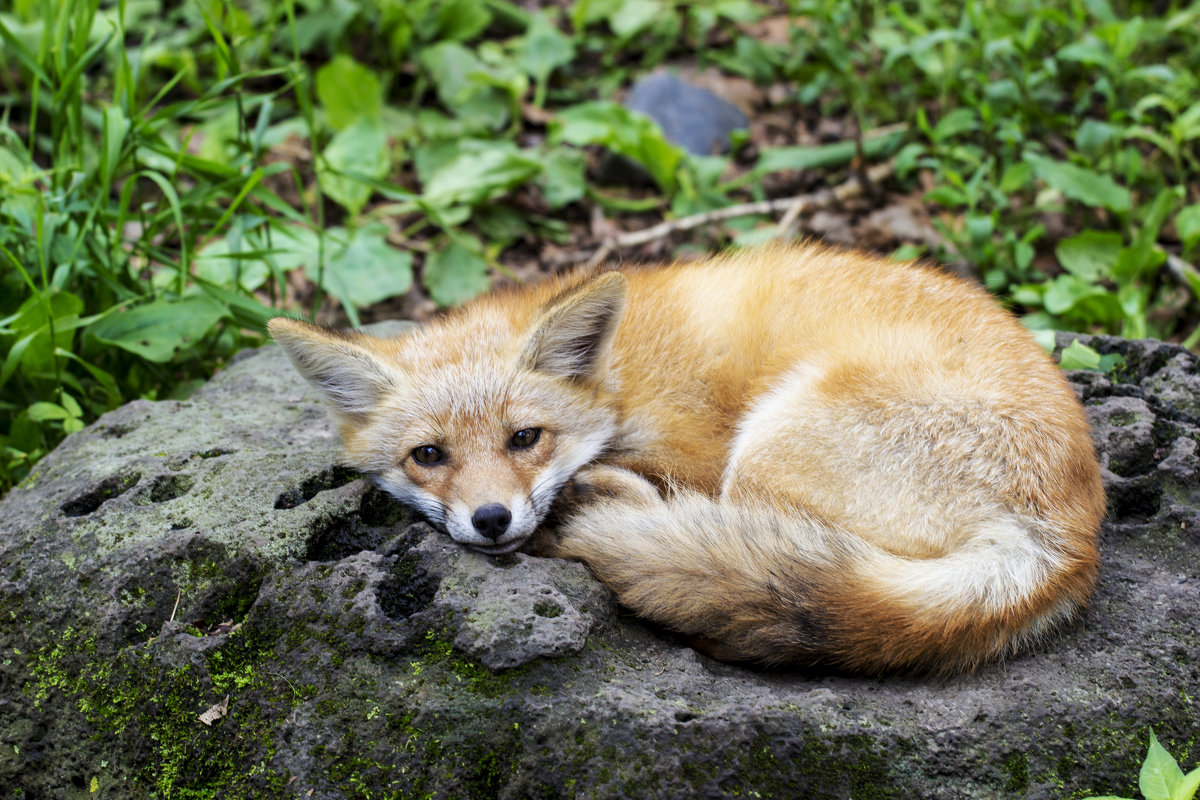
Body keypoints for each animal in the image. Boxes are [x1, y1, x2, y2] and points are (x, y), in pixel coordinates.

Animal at [272, 244, 1104, 676]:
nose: (492, 520)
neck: (620, 375)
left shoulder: (695, 448)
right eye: (428, 455)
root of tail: (1065, 543)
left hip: (769, 446)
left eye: (524, 438)